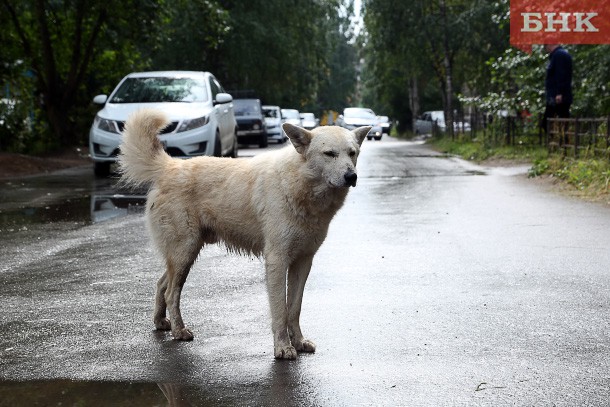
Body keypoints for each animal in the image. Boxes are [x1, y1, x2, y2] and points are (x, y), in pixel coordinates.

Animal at [117, 109, 368, 360]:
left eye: (352, 153)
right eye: (329, 154)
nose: (351, 176)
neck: (299, 187)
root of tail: (170, 166)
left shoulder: (303, 262)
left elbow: (294, 308)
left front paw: (299, 342)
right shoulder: (277, 260)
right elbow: (280, 310)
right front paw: (283, 348)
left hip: (185, 255)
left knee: (161, 285)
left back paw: (161, 322)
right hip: (184, 253)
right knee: (171, 292)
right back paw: (179, 331)